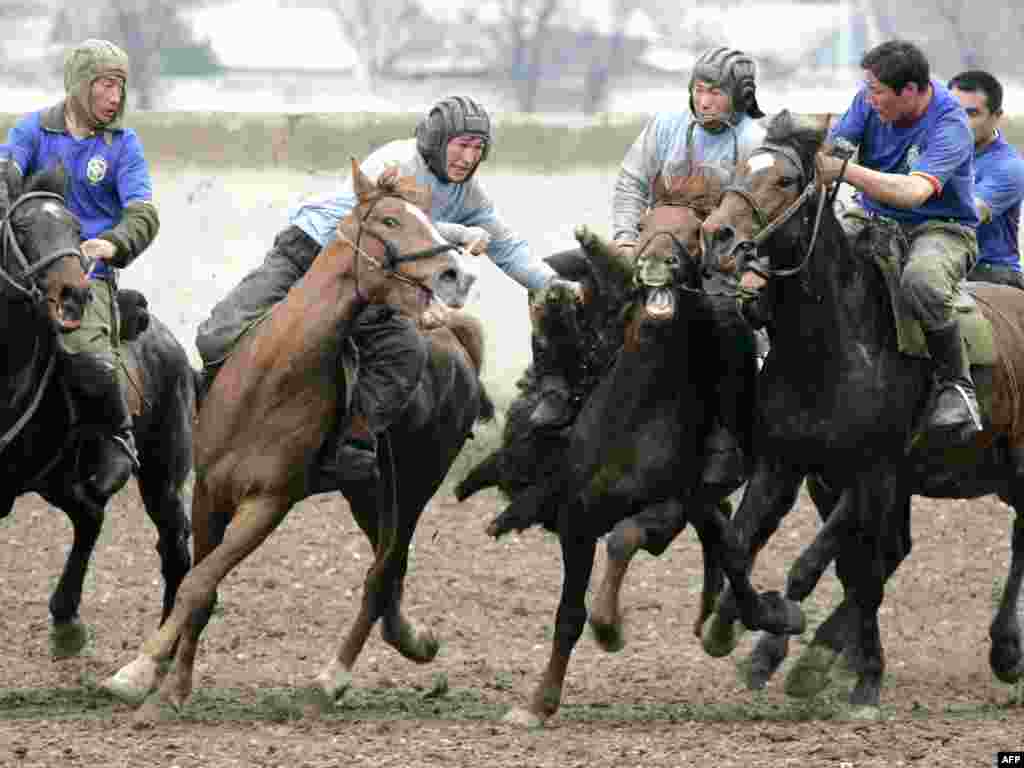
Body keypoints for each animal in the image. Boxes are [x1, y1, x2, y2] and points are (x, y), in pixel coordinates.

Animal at [0, 162, 193, 663]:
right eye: (21, 227)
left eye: (75, 229)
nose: (74, 293)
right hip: (60, 478)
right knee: (90, 517)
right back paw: (66, 619)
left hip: (162, 477)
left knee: (174, 550)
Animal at [101, 157, 489, 720]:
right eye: (390, 219)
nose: (454, 274)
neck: (271, 377)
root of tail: (457, 348)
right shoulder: (209, 492)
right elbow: (201, 587)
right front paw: (166, 681)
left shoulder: (267, 503)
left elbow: (199, 583)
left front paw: (145, 674)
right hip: (369, 490)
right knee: (388, 572)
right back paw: (412, 639)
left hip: (416, 484)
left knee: (383, 572)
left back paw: (332, 677)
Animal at [700, 111, 1024, 720]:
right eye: (739, 169)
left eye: (785, 180)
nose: (717, 237)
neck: (835, 343)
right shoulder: (788, 468)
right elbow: (745, 544)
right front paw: (741, 629)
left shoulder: (874, 474)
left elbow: (819, 565)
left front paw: (822, 659)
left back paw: (1005, 650)